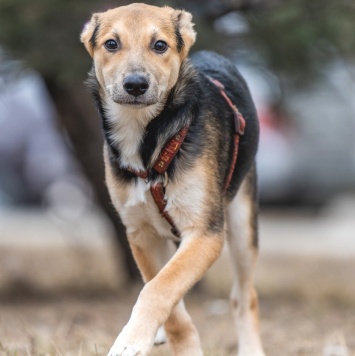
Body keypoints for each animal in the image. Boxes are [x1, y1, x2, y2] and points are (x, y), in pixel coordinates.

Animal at [80, 3, 264, 356]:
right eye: (111, 44)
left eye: (160, 45)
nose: (135, 84)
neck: (149, 143)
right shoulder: (141, 234)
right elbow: (164, 289)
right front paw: (177, 340)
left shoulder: (206, 233)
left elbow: (159, 288)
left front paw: (131, 340)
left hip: (242, 222)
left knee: (244, 296)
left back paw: (251, 348)